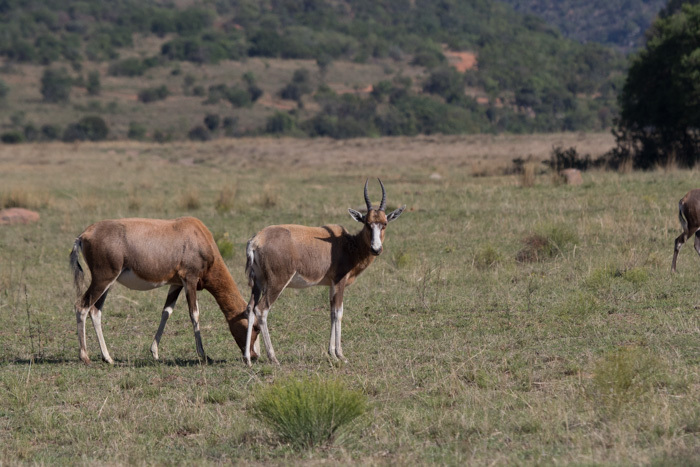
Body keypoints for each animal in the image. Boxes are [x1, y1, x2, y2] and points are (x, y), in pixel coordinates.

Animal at [68, 217, 258, 366]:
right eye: (255, 326)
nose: (254, 356)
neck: (197, 234)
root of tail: (84, 235)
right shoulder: (190, 280)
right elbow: (194, 314)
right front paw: (204, 355)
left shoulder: (176, 284)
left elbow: (166, 312)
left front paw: (154, 352)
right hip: (103, 279)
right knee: (82, 307)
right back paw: (85, 357)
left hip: (108, 283)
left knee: (95, 311)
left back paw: (107, 358)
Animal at [243, 179, 404, 366]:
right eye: (367, 223)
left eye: (384, 223)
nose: (376, 249)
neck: (345, 243)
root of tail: (256, 240)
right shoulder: (340, 282)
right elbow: (339, 313)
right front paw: (341, 355)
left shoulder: (331, 284)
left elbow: (332, 313)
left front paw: (331, 353)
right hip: (276, 283)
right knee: (261, 310)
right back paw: (273, 358)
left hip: (258, 282)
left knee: (250, 308)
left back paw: (247, 358)